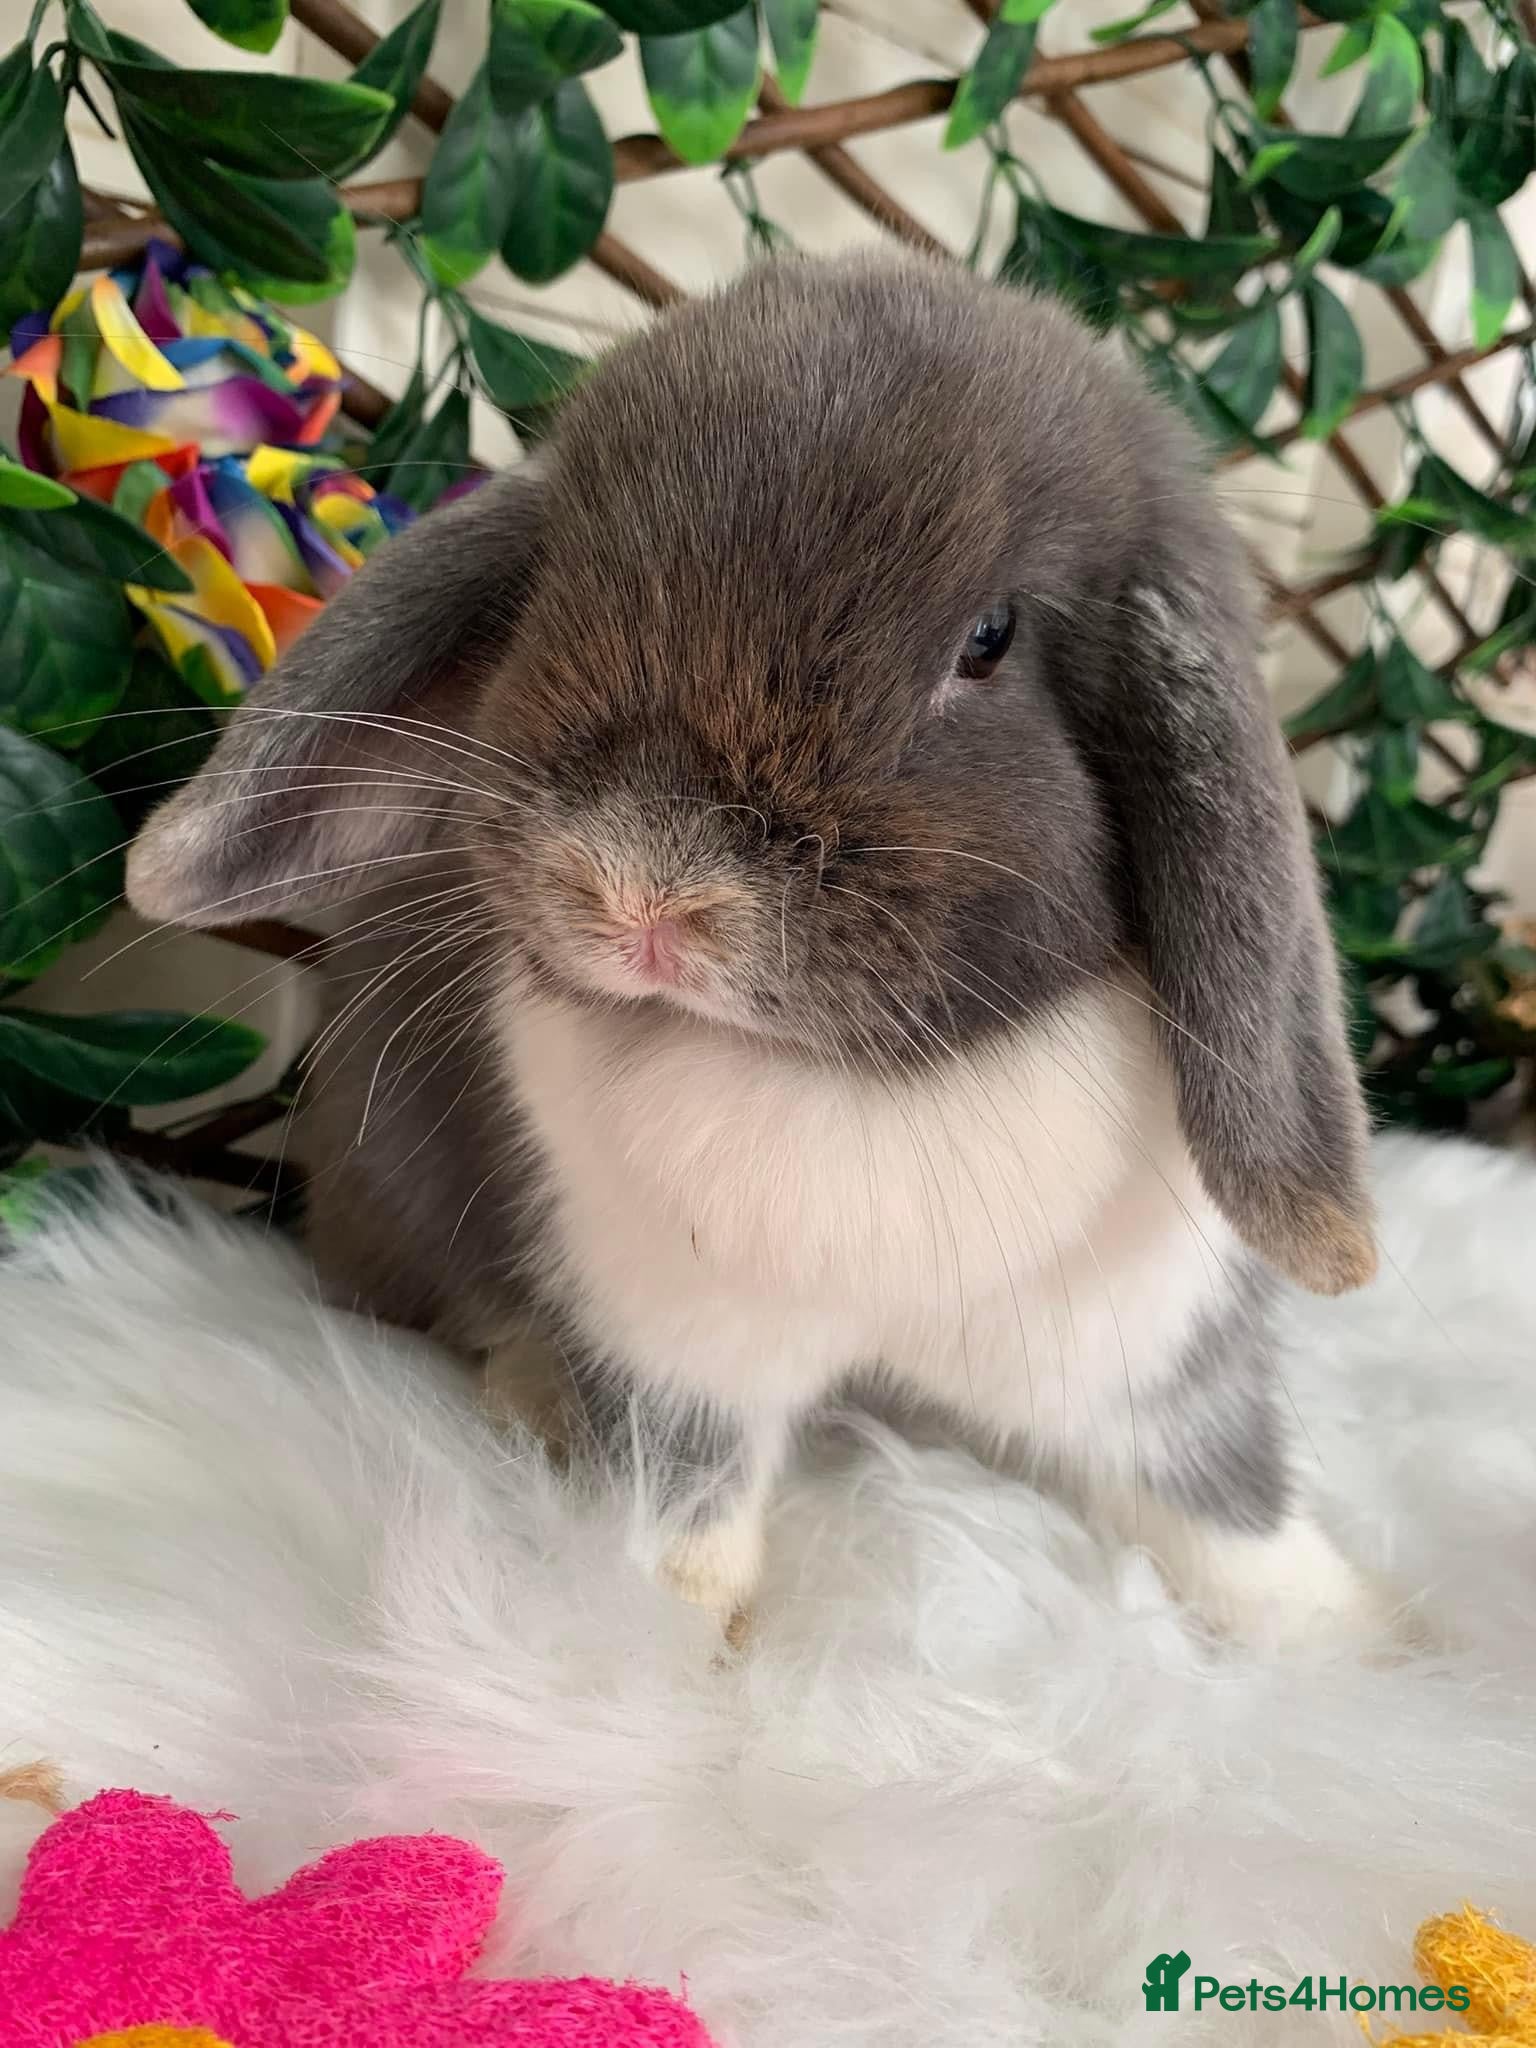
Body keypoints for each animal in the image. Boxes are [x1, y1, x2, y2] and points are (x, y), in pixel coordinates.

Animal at [127, 251, 1384, 1649]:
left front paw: (1348, 1631)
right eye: (557, 587)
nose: (641, 887)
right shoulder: (667, 1335)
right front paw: (674, 1637)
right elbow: (689, 1496)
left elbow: (1223, 1499)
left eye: (991, 638)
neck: (856, 1089)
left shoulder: (1148, 1349)